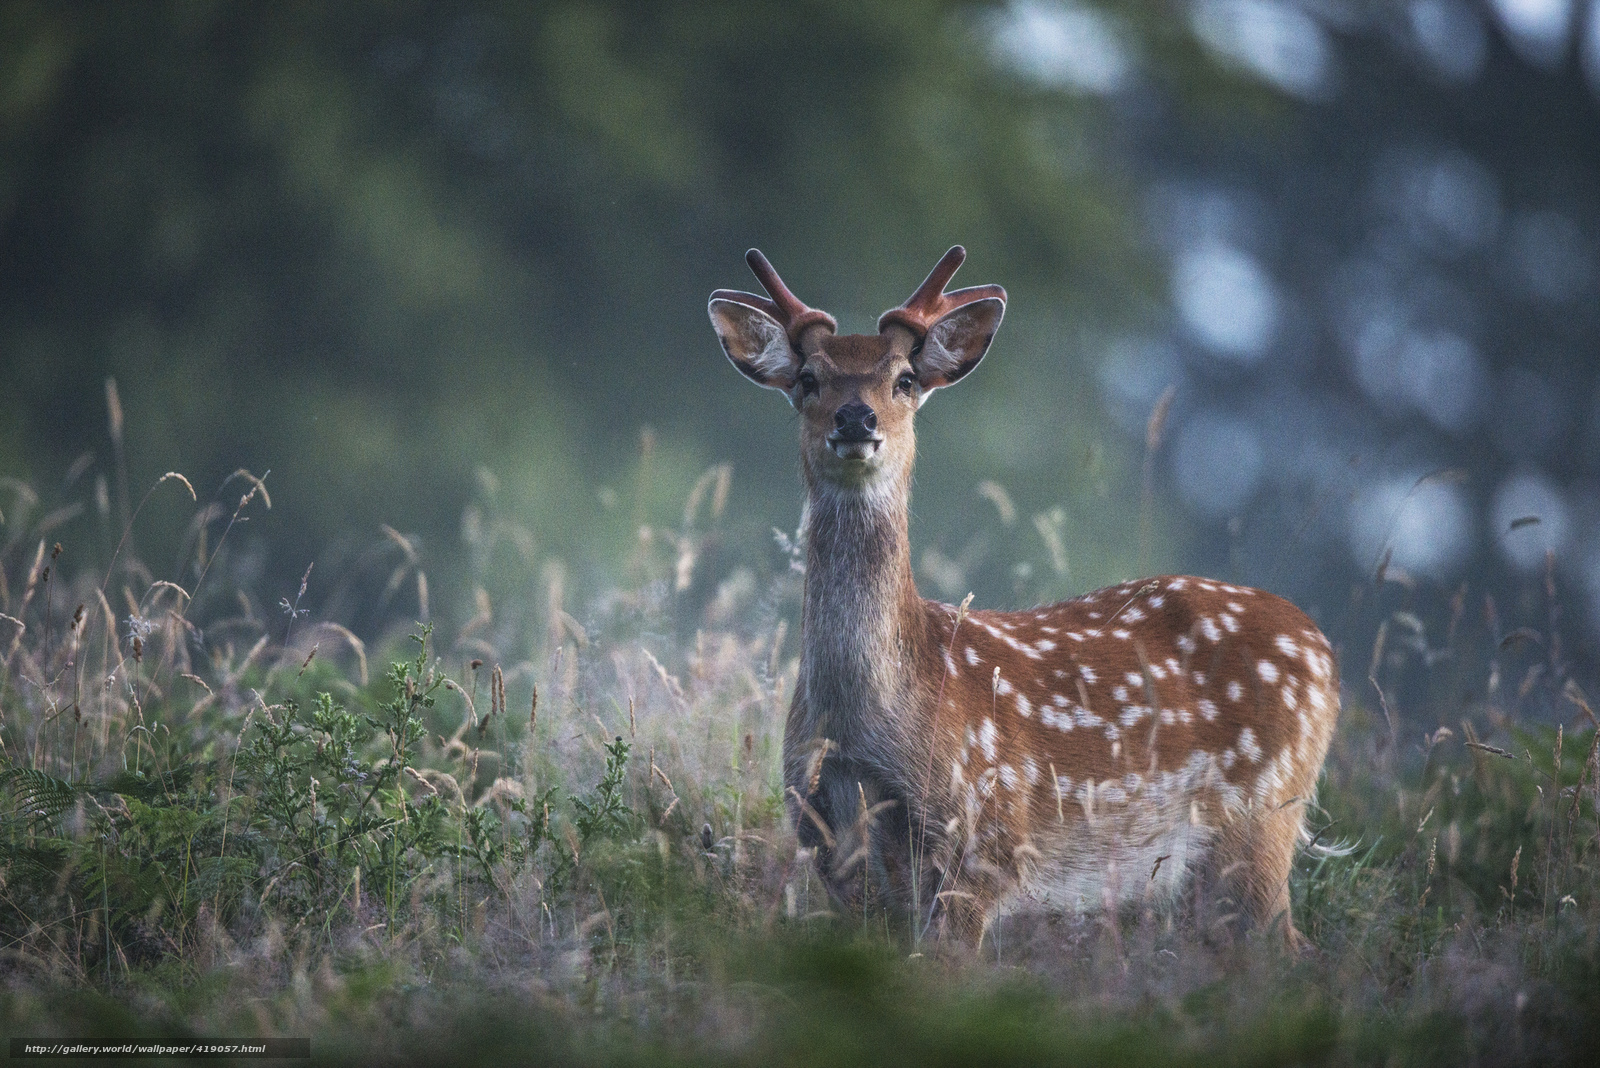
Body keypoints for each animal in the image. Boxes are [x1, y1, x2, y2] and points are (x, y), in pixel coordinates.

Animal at [707, 247, 1341, 951]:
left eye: (904, 380)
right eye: (809, 379)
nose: (855, 418)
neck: (861, 723)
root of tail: (1319, 645)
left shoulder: (982, 841)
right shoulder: (830, 847)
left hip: (1264, 813)